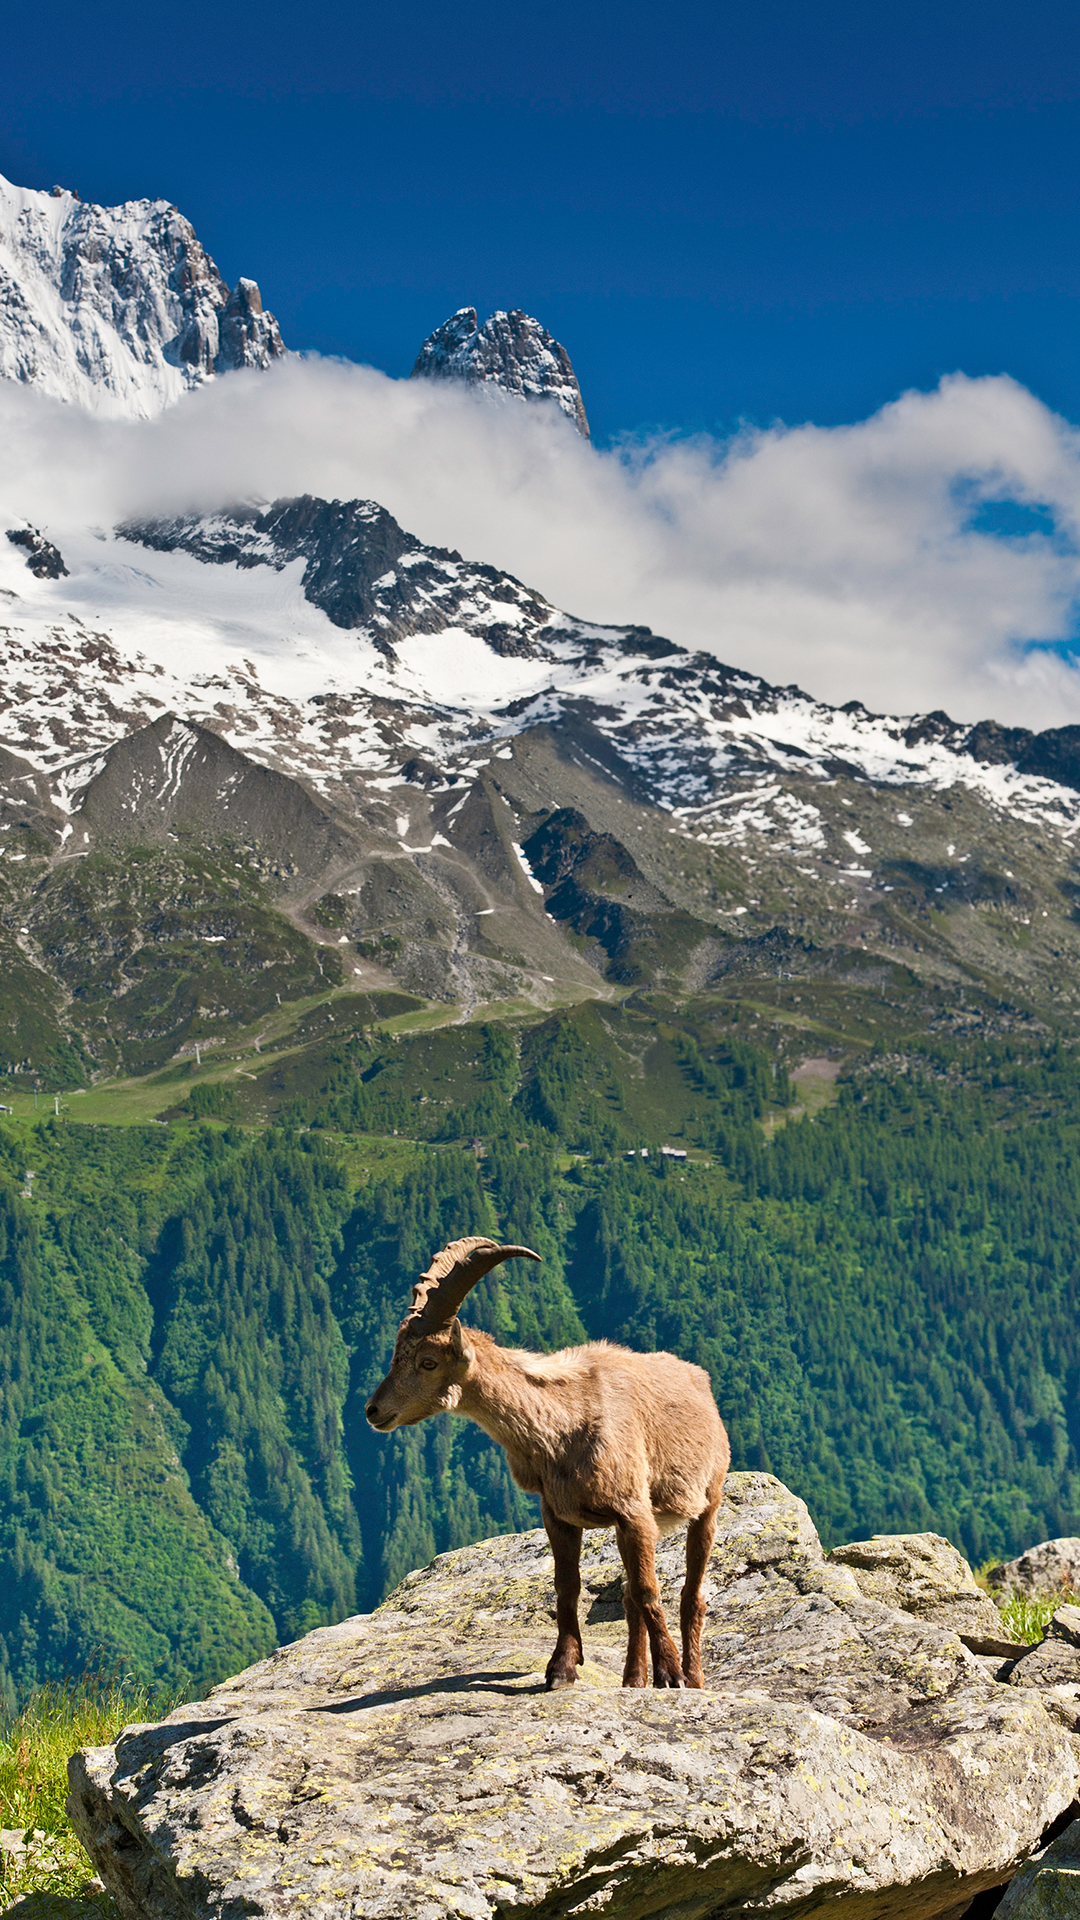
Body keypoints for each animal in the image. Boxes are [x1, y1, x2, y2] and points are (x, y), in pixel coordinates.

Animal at [366, 1236, 730, 1689]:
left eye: (427, 1362)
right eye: (396, 1355)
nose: (373, 1410)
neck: (562, 1425)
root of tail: (700, 1379)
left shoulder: (634, 1511)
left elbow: (649, 1590)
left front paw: (671, 1674)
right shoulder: (558, 1513)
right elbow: (568, 1587)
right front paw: (561, 1668)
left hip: (708, 1501)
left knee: (690, 1595)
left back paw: (691, 1676)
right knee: (629, 1599)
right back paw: (632, 1680)